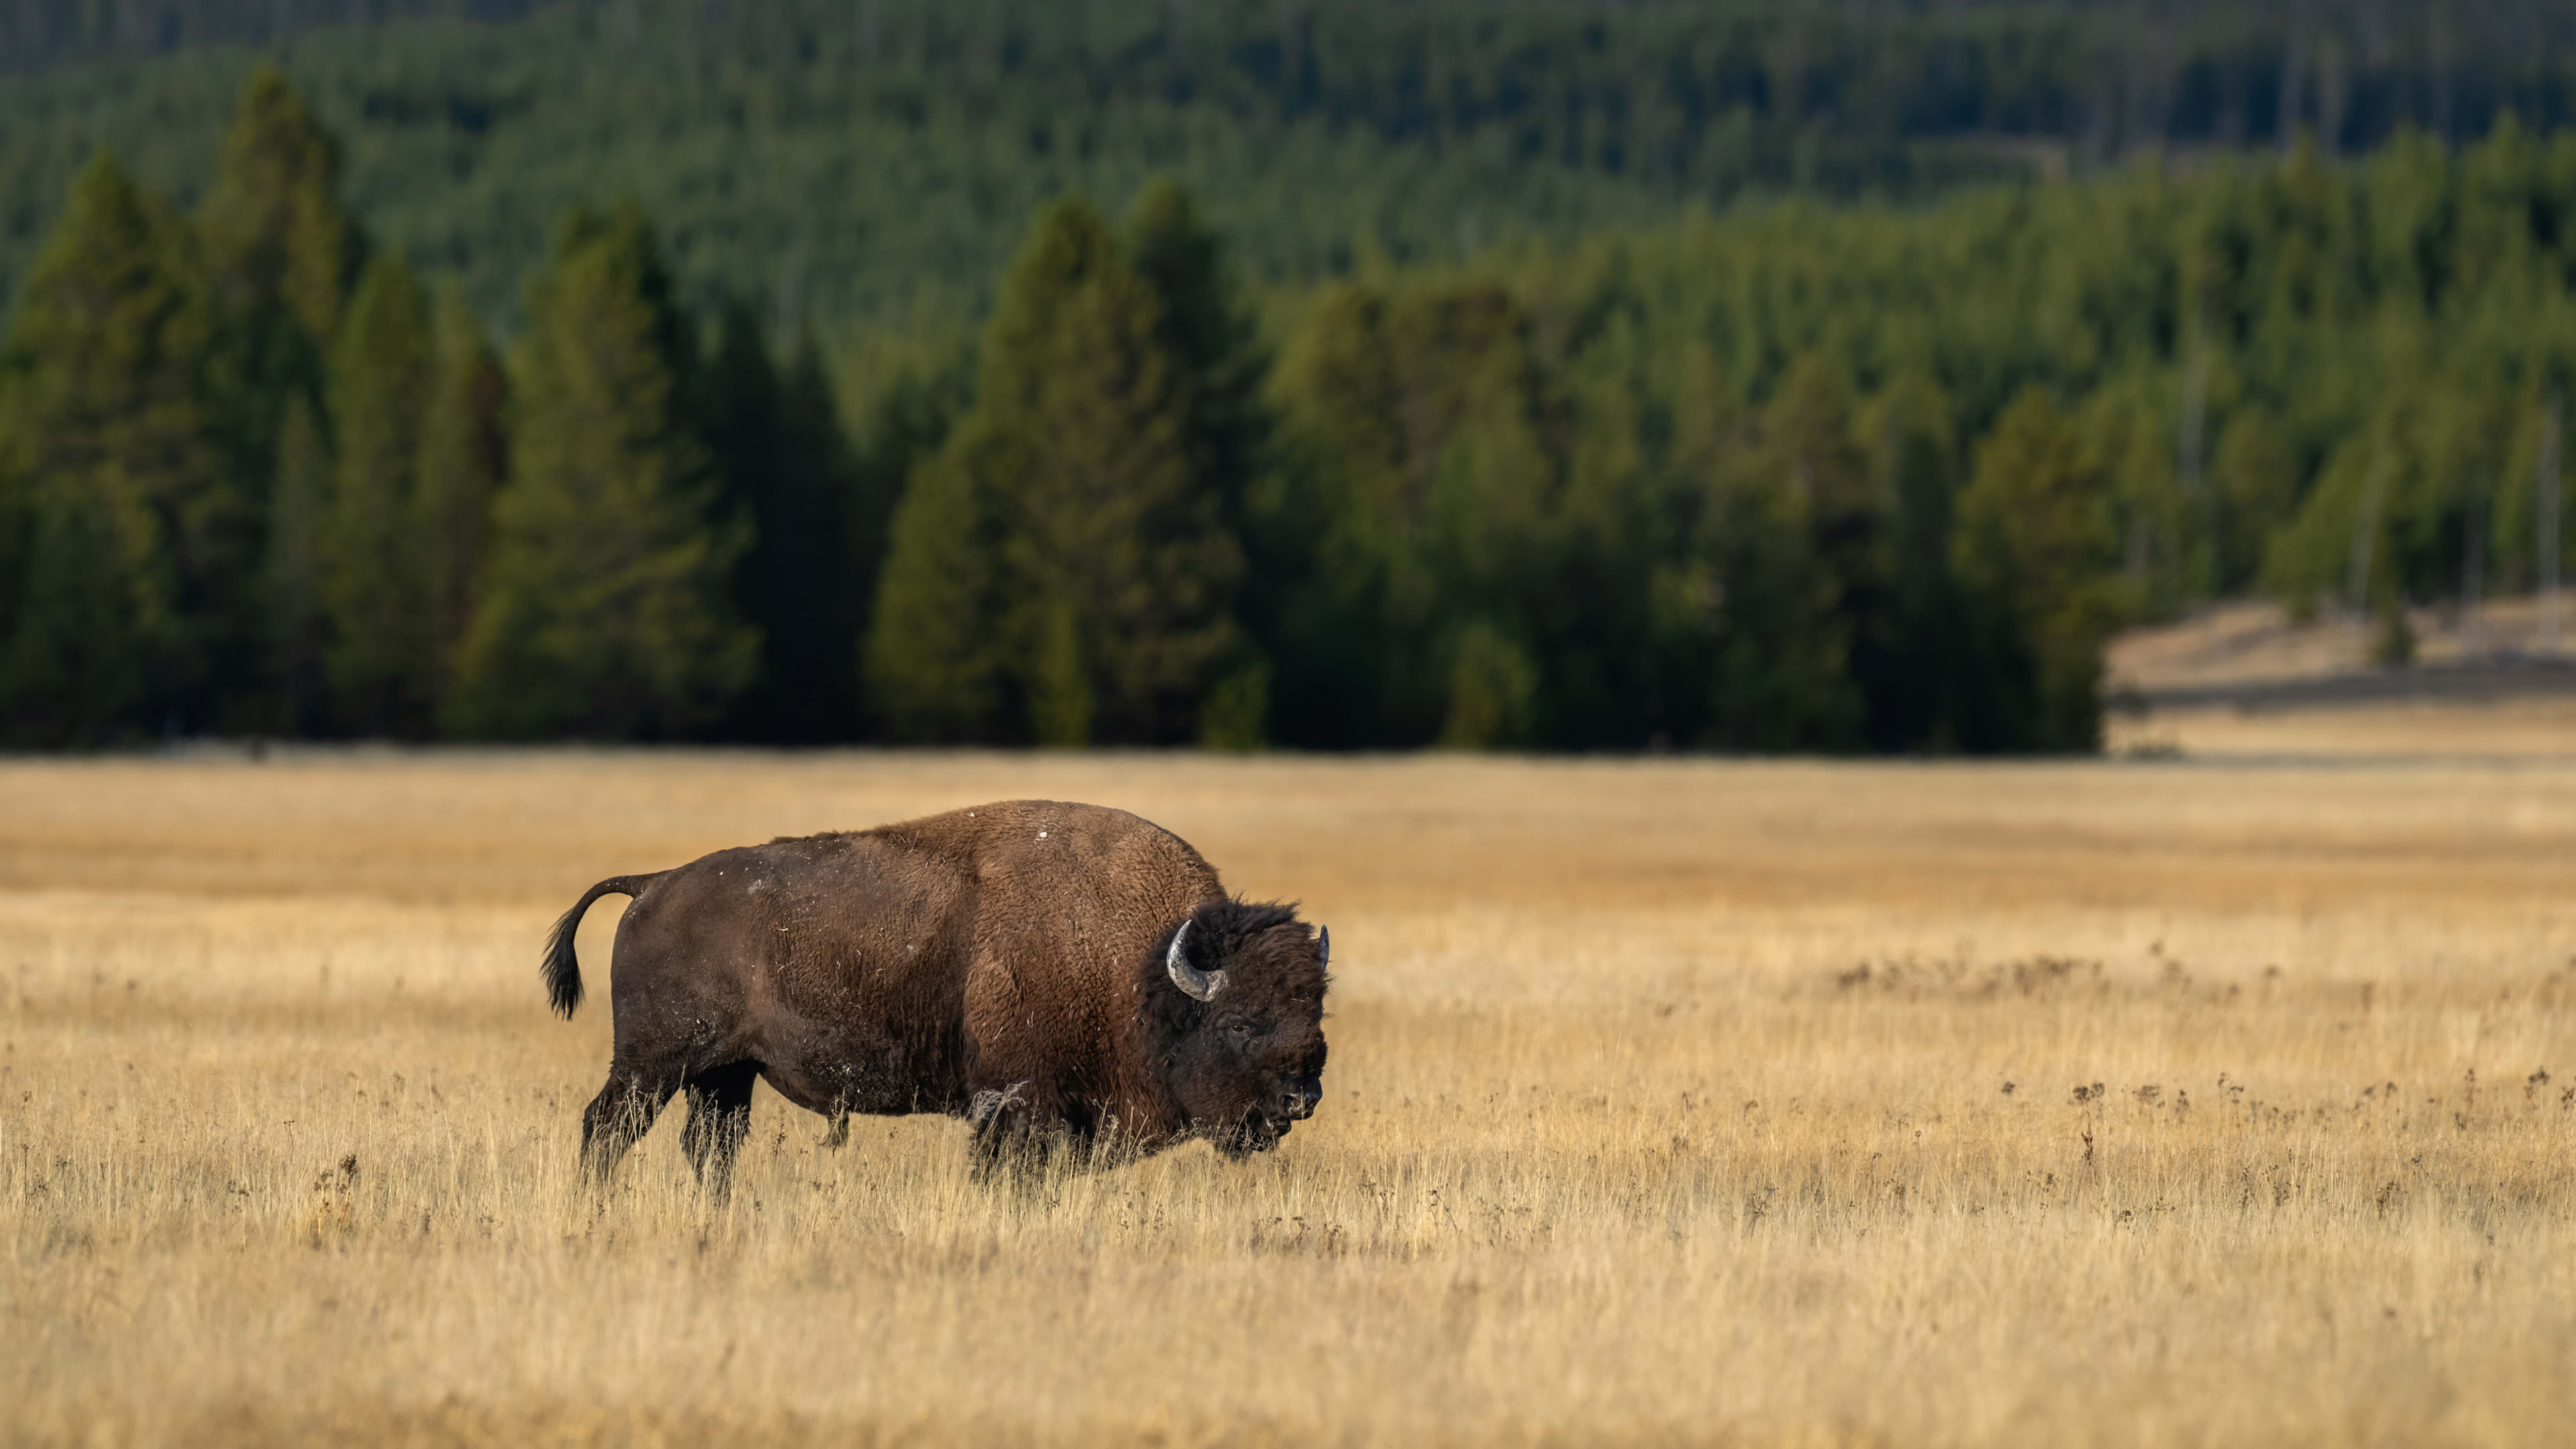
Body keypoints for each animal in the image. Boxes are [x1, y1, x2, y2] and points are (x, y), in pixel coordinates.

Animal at [542, 800, 1330, 1195]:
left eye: (1316, 1017)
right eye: (1238, 1024)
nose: (1301, 1099)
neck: (1140, 972)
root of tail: (654, 883)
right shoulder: (1017, 1104)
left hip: (724, 1073)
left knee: (710, 1146)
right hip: (653, 1065)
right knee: (606, 1127)